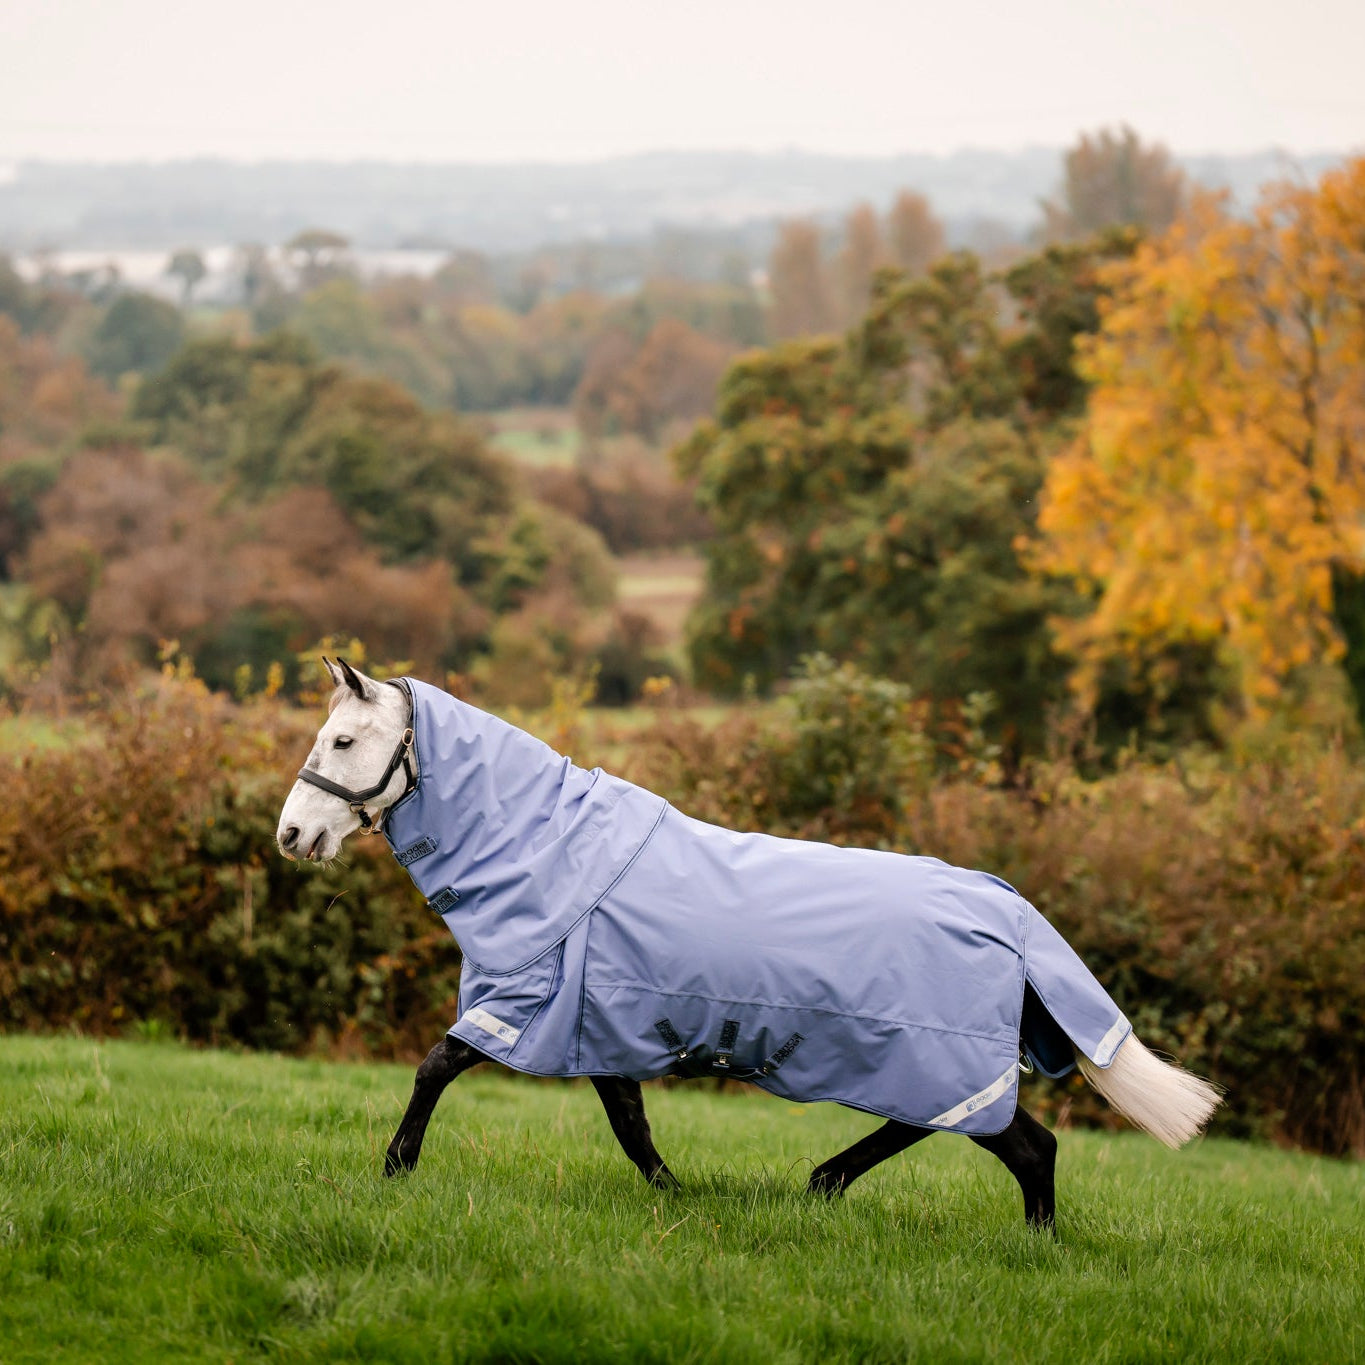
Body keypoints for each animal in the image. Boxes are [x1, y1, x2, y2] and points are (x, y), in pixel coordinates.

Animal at [276, 658, 1221, 1229]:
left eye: (344, 740)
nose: (291, 834)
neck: (553, 854)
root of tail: (1012, 912)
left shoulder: (522, 1005)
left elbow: (434, 1066)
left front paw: (394, 1169)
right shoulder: (601, 1019)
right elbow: (630, 1125)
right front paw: (677, 1196)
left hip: (934, 1056)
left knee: (1024, 1144)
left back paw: (1020, 1239)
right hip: (926, 1061)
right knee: (955, 1132)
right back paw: (829, 1184)